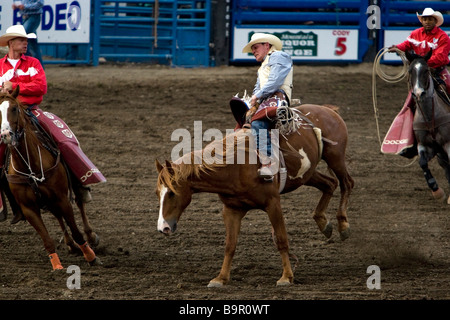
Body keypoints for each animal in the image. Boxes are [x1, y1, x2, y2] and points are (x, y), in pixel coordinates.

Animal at [0, 87, 100, 270]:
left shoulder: (62, 198)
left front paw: (91, 257)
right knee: (58, 215)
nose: (5, 135)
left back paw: (91, 236)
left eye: (14, 108)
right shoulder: (29, 209)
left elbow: (76, 230)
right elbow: (47, 240)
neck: (31, 165)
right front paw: (56, 265)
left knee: (79, 202)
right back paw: (70, 244)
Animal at [156, 104, 354, 286]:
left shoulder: (273, 203)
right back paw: (323, 222)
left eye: (172, 193)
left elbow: (281, 239)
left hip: (335, 157)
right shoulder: (232, 209)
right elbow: (230, 245)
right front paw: (221, 278)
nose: (163, 227)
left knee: (346, 183)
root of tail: (327, 109)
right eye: (158, 193)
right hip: (307, 174)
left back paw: (343, 224)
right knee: (330, 183)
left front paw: (286, 277)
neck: (236, 166)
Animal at [408, 51, 450, 204]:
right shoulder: (425, 145)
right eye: (410, 71)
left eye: (426, 70)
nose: (418, 93)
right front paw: (437, 191)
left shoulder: (448, 143)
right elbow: (422, 163)